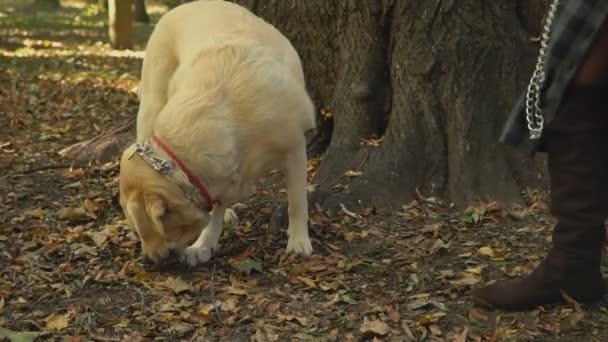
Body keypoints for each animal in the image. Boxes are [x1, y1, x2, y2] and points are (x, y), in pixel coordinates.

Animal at [120, 0, 316, 266]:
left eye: (141, 231)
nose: (149, 260)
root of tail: (185, 6)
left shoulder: (295, 147)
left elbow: (297, 201)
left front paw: (298, 240)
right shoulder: (216, 176)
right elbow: (215, 209)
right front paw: (204, 244)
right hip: (151, 103)